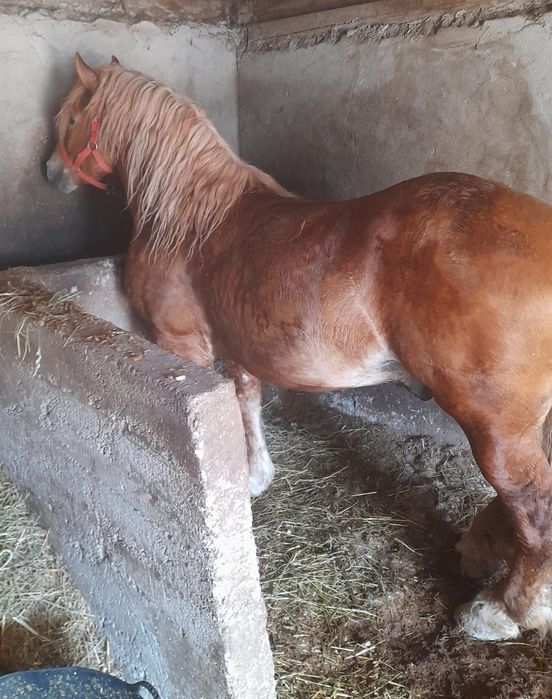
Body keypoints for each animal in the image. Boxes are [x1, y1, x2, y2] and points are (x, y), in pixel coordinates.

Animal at [46, 53, 552, 642]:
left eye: (70, 115)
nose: (51, 171)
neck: (192, 218)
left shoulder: (183, 344)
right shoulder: (238, 345)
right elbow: (245, 402)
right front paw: (253, 476)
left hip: (495, 425)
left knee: (533, 511)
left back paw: (501, 611)